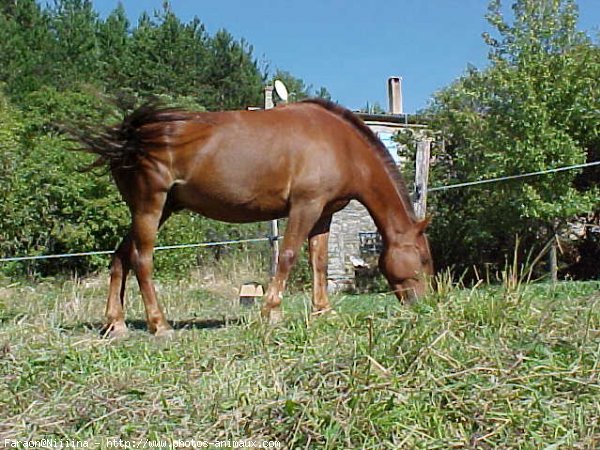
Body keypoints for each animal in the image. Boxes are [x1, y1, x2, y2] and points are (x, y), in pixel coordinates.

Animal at [78, 99, 432, 338]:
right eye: (424, 259)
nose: (424, 304)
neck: (340, 144)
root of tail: (131, 134)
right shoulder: (305, 206)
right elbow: (287, 256)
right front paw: (271, 312)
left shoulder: (323, 214)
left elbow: (318, 262)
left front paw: (323, 311)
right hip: (151, 205)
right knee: (142, 260)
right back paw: (159, 324)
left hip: (157, 209)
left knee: (120, 257)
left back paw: (116, 323)